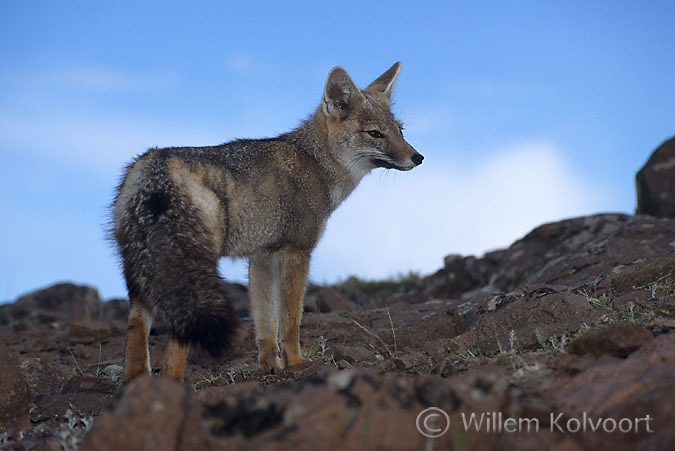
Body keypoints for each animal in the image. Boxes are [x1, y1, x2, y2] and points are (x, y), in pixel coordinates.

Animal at [113, 61, 426, 384]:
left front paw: (271, 367)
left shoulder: (261, 258)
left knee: (136, 336)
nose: (418, 157)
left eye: (400, 131)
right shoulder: (297, 253)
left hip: (141, 275)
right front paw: (296, 362)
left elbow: (265, 324)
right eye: (375, 133)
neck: (316, 162)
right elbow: (290, 320)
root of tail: (158, 167)